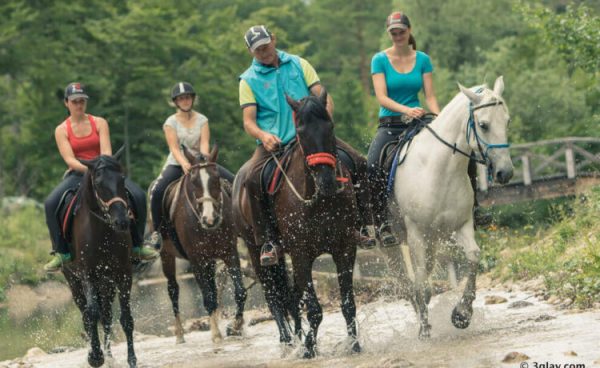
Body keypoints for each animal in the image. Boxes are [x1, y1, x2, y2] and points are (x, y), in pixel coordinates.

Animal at [63, 149, 138, 368]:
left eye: (122, 179)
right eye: (98, 184)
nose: (122, 221)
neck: (103, 230)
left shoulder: (124, 274)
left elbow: (125, 318)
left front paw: (131, 359)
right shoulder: (87, 274)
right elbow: (91, 313)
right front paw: (95, 356)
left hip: (107, 283)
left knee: (106, 315)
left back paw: (110, 356)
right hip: (74, 282)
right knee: (87, 314)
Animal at [159, 145, 246, 344]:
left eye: (216, 178)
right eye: (193, 181)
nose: (209, 219)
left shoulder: (229, 253)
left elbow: (240, 291)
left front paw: (236, 327)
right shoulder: (196, 261)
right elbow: (208, 298)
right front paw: (216, 335)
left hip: (210, 260)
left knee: (213, 288)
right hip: (166, 256)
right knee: (173, 290)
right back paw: (180, 334)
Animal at [232, 90, 364, 358]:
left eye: (330, 126)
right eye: (301, 132)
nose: (327, 181)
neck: (318, 198)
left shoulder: (345, 248)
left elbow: (348, 304)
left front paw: (354, 344)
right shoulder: (301, 254)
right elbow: (314, 309)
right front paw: (308, 349)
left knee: (290, 297)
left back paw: (296, 337)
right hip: (254, 249)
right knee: (273, 295)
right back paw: (287, 342)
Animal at [392, 77, 512, 340]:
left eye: (507, 121)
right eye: (483, 125)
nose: (505, 173)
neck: (440, 170)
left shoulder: (462, 225)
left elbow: (474, 257)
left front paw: (462, 314)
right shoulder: (415, 234)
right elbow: (421, 284)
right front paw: (424, 331)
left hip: (433, 240)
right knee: (411, 280)